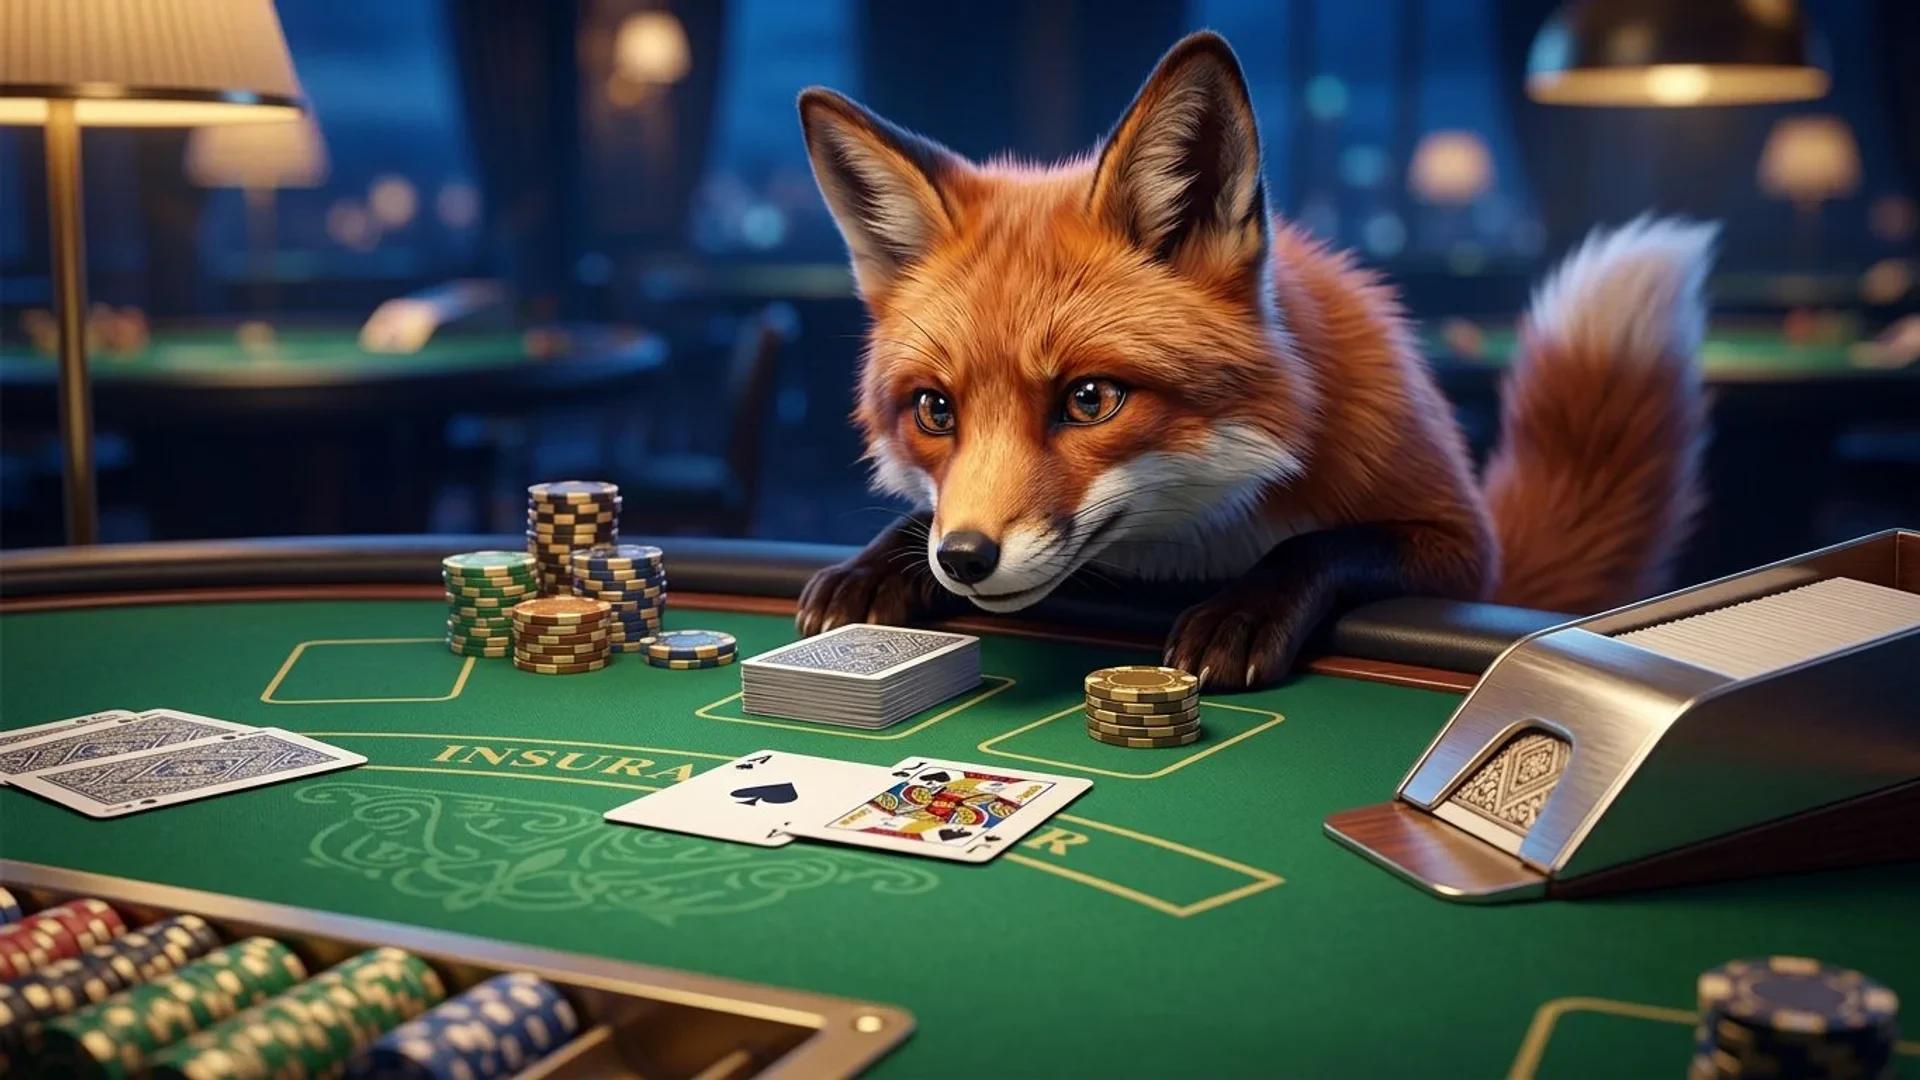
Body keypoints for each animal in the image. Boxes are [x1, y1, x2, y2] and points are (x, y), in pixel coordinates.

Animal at [791, 31, 1712, 691]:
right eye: (935, 410)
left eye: (1090, 399)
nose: (965, 560)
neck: (1180, 542)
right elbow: (912, 519)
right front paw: (873, 569)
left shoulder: (1458, 543)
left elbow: (1325, 547)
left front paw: (1246, 609)